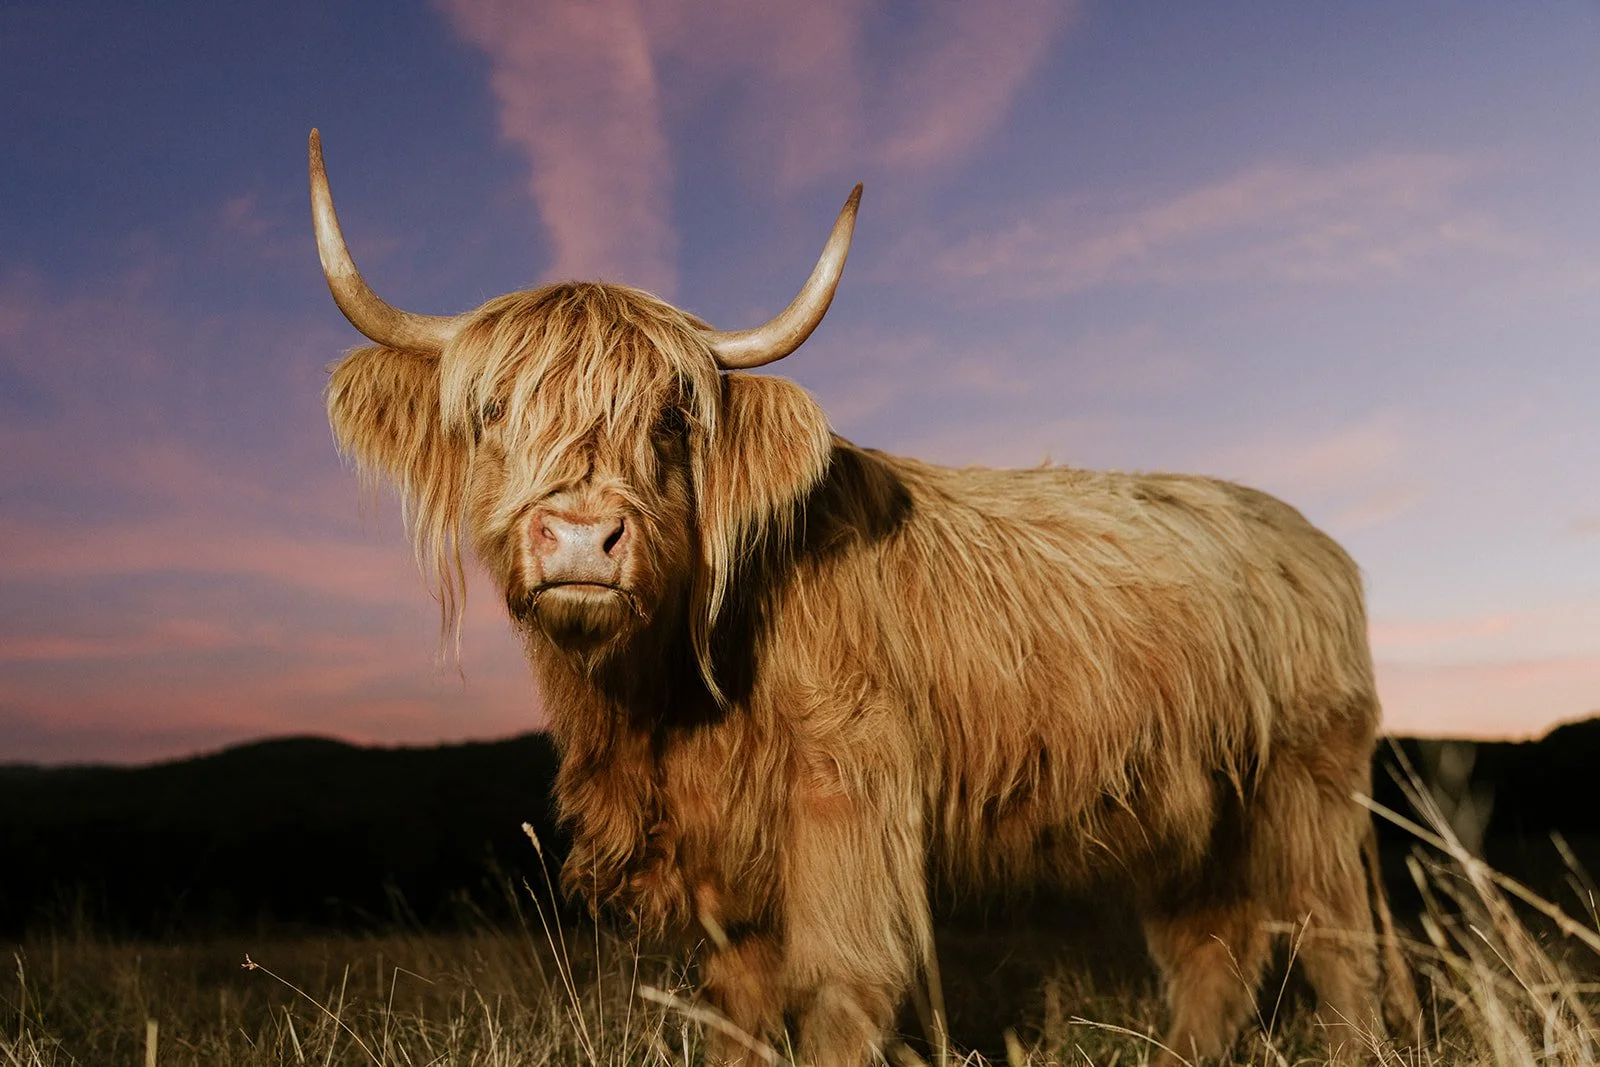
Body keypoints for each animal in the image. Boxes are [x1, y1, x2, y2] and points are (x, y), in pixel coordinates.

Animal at [309, 129, 1416, 1066]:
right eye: (494, 409)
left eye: (672, 418)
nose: (582, 536)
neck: (664, 705)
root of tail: (1311, 535)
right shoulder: (724, 856)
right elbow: (737, 1005)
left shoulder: (848, 789)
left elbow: (839, 987)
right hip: (1198, 809)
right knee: (1212, 948)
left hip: (1308, 784)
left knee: (1332, 940)